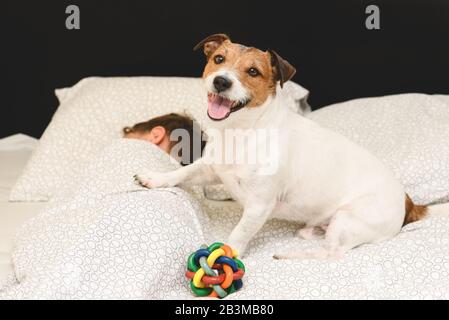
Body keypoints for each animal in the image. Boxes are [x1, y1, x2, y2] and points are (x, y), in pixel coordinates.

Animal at [135, 33, 428, 258]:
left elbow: (238, 234)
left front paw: (226, 256)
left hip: (348, 220)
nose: (221, 81)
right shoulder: (211, 168)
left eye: (253, 71)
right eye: (218, 59)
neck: (242, 132)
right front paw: (155, 178)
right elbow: (182, 172)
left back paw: (290, 254)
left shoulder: (258, 206)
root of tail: (407, 201)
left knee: (334, 253)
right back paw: (309, 230)